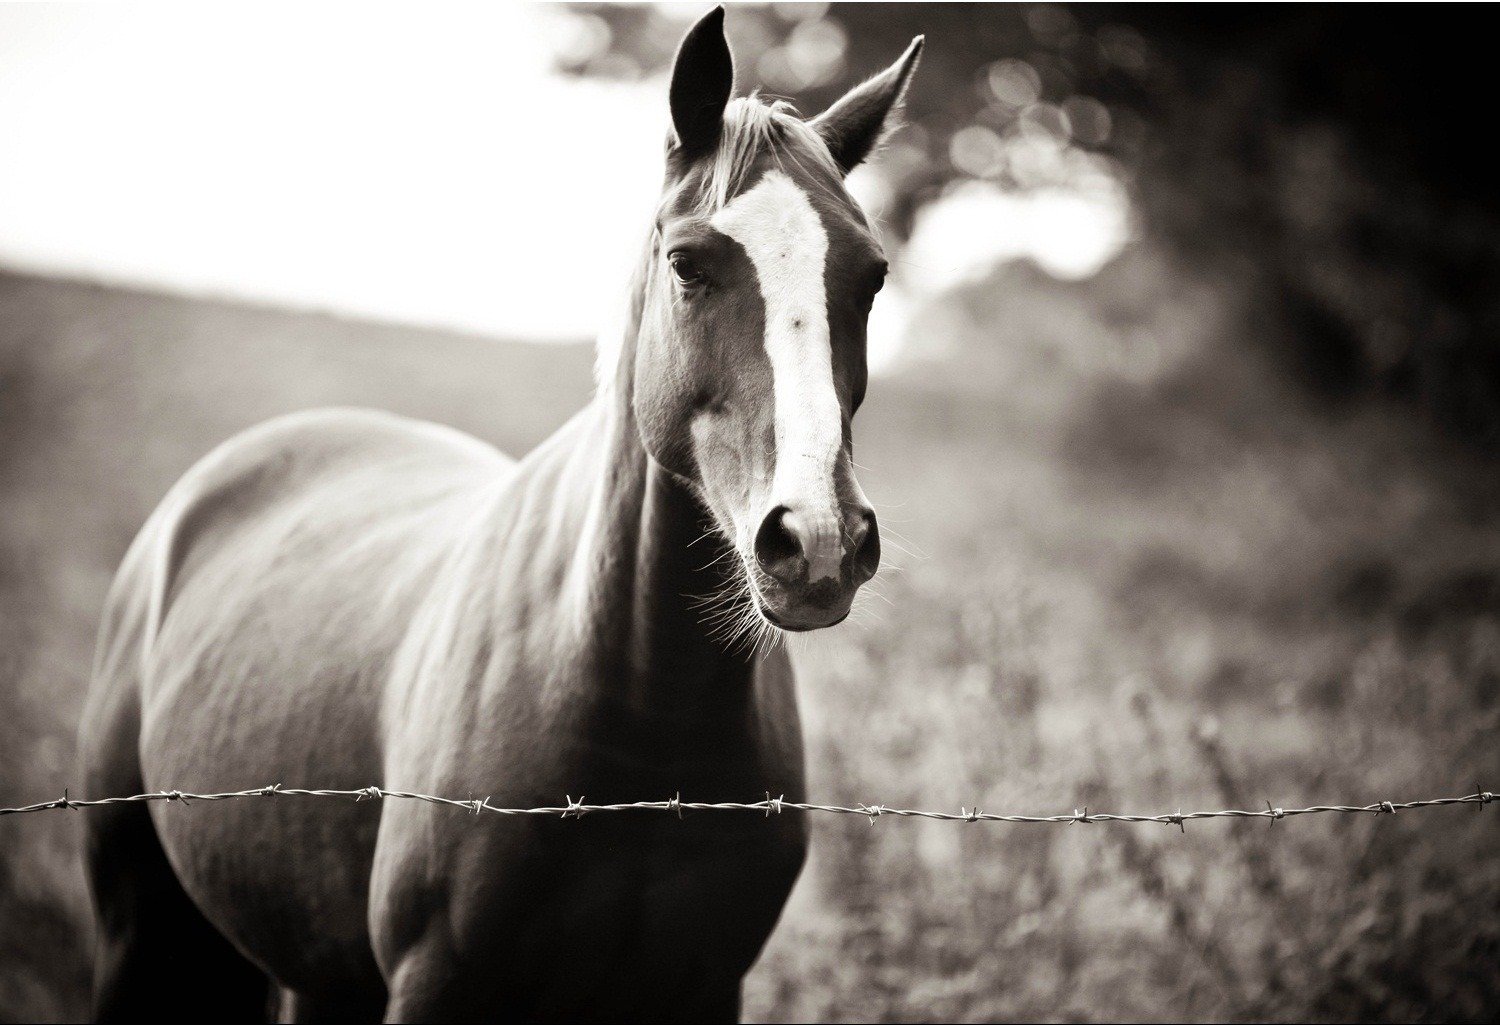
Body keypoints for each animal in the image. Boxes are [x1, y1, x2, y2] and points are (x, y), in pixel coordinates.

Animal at [77, 8, 921, 1021]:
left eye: (871, 277)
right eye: (687, 263)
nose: (819, 540)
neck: (640, 729)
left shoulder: (707, 988)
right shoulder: (436, 982)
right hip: (140, 928)